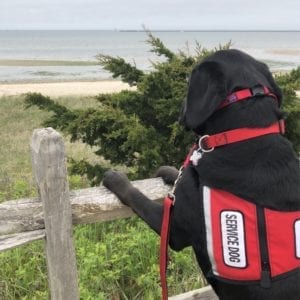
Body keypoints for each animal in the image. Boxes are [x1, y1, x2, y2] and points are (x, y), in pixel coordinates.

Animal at [103, 49, 300, 300]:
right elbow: (180, 175)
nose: (180, 107)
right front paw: (168, 171)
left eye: (189, 80)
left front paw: (115, 178)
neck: (242, 136)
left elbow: (136, 196)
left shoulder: (173, 230)